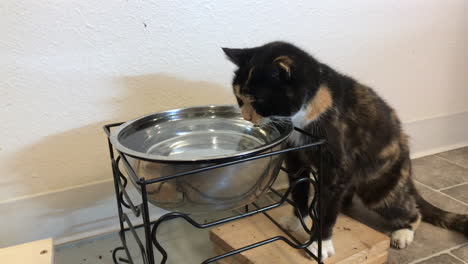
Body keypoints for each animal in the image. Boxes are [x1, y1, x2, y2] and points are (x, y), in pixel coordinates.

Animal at [222, 41, 468, 260]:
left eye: (258, 100)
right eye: (239, 98)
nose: (246, 117)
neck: (311, 104)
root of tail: (406, 155)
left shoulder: (336, 168)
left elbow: (327, 209)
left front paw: (319, 245)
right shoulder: (296, 156)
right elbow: (299, 189)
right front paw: (296, 221)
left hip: (381, 188)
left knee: (409, 210)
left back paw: (403, 232)